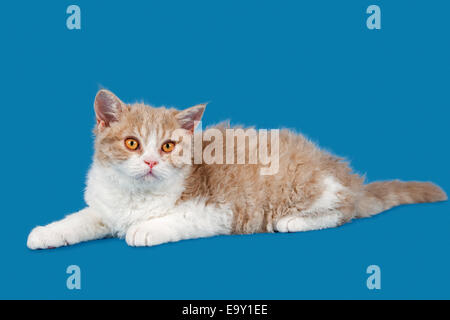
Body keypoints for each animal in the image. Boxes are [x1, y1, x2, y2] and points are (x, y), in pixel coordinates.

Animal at [27, 90, 446, 250]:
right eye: (132, 143)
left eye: (168, 146)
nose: (150, 162)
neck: (135, 197)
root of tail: (344, 173)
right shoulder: (105, 209)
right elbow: (80, 220)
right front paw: (46, 233)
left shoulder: (216, 210)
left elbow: (171, 220)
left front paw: (143, 229)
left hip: (308, 188)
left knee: (345, 209)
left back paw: (294, 221)